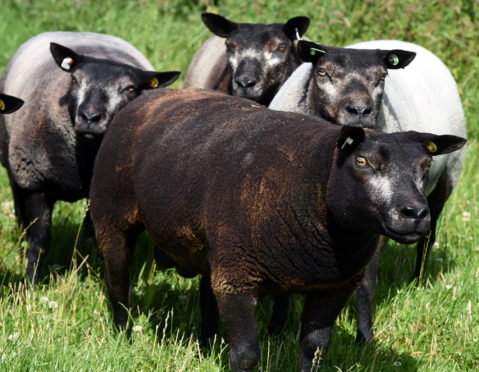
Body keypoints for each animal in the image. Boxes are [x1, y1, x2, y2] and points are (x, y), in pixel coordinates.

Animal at [0, 32, 180, 282]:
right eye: (75, 80)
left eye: (130, 89)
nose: (90, 117)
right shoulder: (35, 183)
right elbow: (39, 242)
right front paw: (30, 282)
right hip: (13, 164)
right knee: (19, 214)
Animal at [88, 88, 466, 372]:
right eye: (362, 162)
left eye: (425, 165)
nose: (415, 213)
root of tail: (153, 95)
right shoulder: (238, 279)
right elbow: (245, 356)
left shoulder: (334, 286)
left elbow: (314, 349)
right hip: (111, 215)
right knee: (118, 280)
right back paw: (124, 335)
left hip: (213, 248)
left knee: (206, 292)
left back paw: (205, 343)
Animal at [270, 39, 468, 342]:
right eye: (323, 72)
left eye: (382, 76)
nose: (359, 110)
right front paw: (277, 332)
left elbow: (367, 281)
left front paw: (364, 337)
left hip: (446, 179)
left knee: (427, 237)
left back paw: (418, 282)